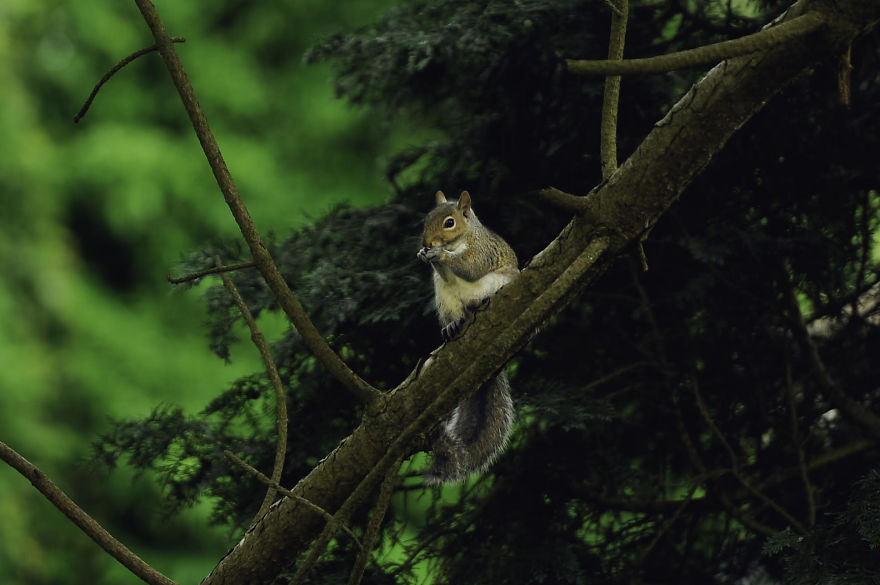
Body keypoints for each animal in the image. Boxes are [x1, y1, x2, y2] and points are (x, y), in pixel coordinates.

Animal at [417, 190, 518, 484]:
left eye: (449, 223)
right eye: (426, 219)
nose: (427, 242)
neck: (459, 241)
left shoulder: (481, 251)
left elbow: (470, 267)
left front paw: (438, 253)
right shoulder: (443, 279)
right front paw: (425, 254)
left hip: (499, 282)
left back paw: (479, 302)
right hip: (445, 300)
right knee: (456, 314)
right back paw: (452, 326)